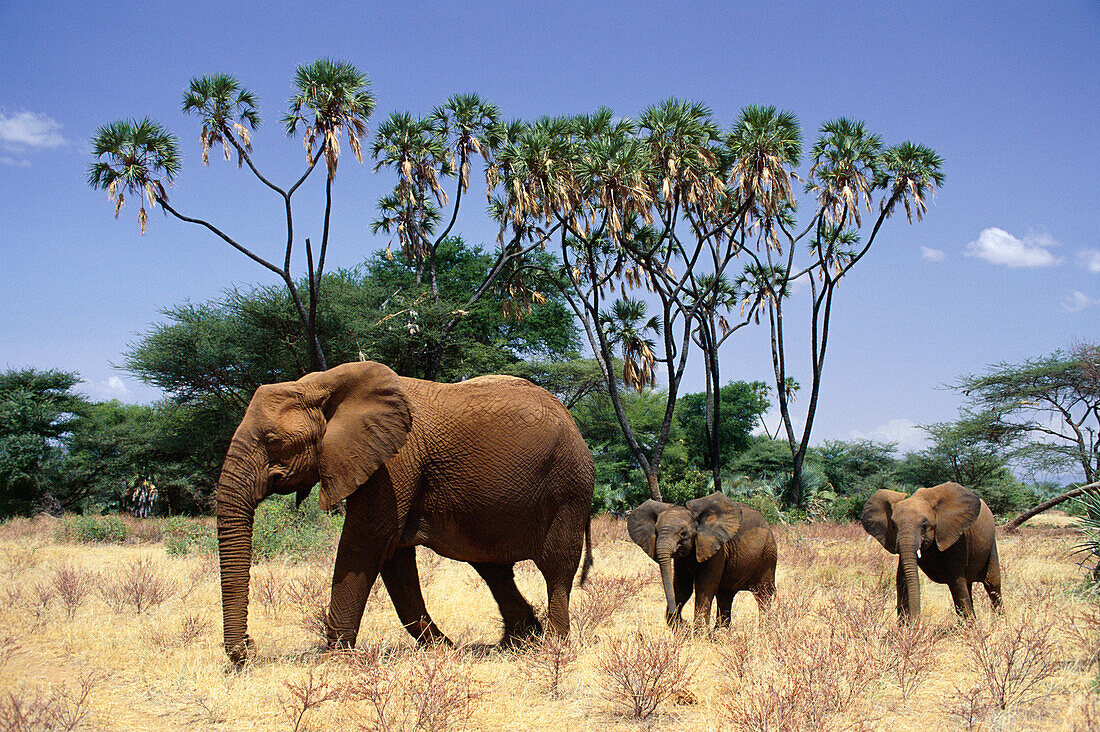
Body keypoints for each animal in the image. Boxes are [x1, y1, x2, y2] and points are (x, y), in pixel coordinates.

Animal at [215, 363, 594, 664]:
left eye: (273, 441)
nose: (247, 649)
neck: (320, 384)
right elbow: (395, 560)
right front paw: (444, 651)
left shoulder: (394, 461)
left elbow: (366, 543)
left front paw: (333, 660)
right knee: (492, 568)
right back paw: (516, 642)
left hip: (568, 486)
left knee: (556, 566)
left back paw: (553, 646)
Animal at [629, 490, 774, 629]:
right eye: (656, 532)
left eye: (683, 533)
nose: (683, 622)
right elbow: (683, 588)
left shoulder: (716, 549)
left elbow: (704, 588)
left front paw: (697, 633)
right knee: (725, 596)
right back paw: (719, 633)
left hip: (768, 556)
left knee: (763, 595)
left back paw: (765, 630)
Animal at [862, 482, 1003, 620]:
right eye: (893, 526)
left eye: (925, 525)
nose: (916, 621)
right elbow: (902, 579)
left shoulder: (956, 536)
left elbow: (956, 580)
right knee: (968, 585)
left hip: (991, 545)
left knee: (992, 584)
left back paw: (999, 621)